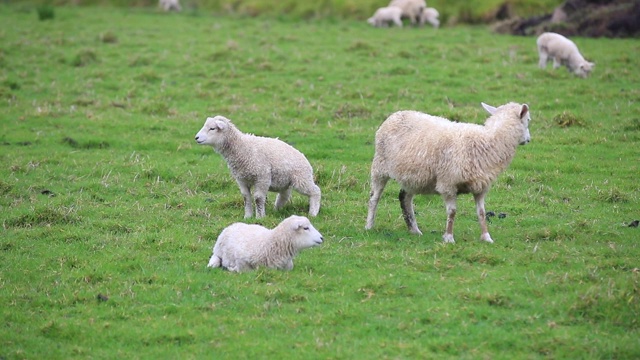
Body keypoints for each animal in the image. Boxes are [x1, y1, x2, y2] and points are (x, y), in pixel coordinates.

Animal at [364, 102, 528, 246]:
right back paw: (369, 225)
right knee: (374, 198)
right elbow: (452, 212)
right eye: (528, 120)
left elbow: (481, 212)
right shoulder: (448, 183)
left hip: (414, 177)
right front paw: (449, 238)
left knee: (405, 198)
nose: (528, 139)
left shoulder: (481, 187)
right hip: (380, 167)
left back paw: (414, 230)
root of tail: (396, 114)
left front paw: (486, 237)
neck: (488, 142)